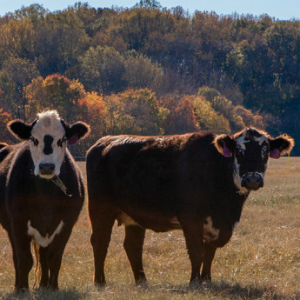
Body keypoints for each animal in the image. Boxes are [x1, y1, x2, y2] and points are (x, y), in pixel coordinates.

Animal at [0, 110, 89, 290]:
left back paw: (43, 285)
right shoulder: (18, 224)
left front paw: (53, 288)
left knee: (43, 256)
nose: (46, 166)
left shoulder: (66, 225)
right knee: (17, 256)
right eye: (33, 139)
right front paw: (22, 289)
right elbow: (24, 259)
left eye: (62, 139)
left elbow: (54, 259)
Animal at [86, 127, 292, 288]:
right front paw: (194, 282)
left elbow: (210, 252)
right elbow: (197, 251)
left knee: (133, 246)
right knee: (100, 242)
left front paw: (206, 280)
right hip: (99, 208)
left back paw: (142, 282)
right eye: (239, 152)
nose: (252, 179)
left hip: (134, 216)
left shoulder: (218, 224)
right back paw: (100, 282)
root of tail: (103, 142)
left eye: (265, 152)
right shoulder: (191, 219)